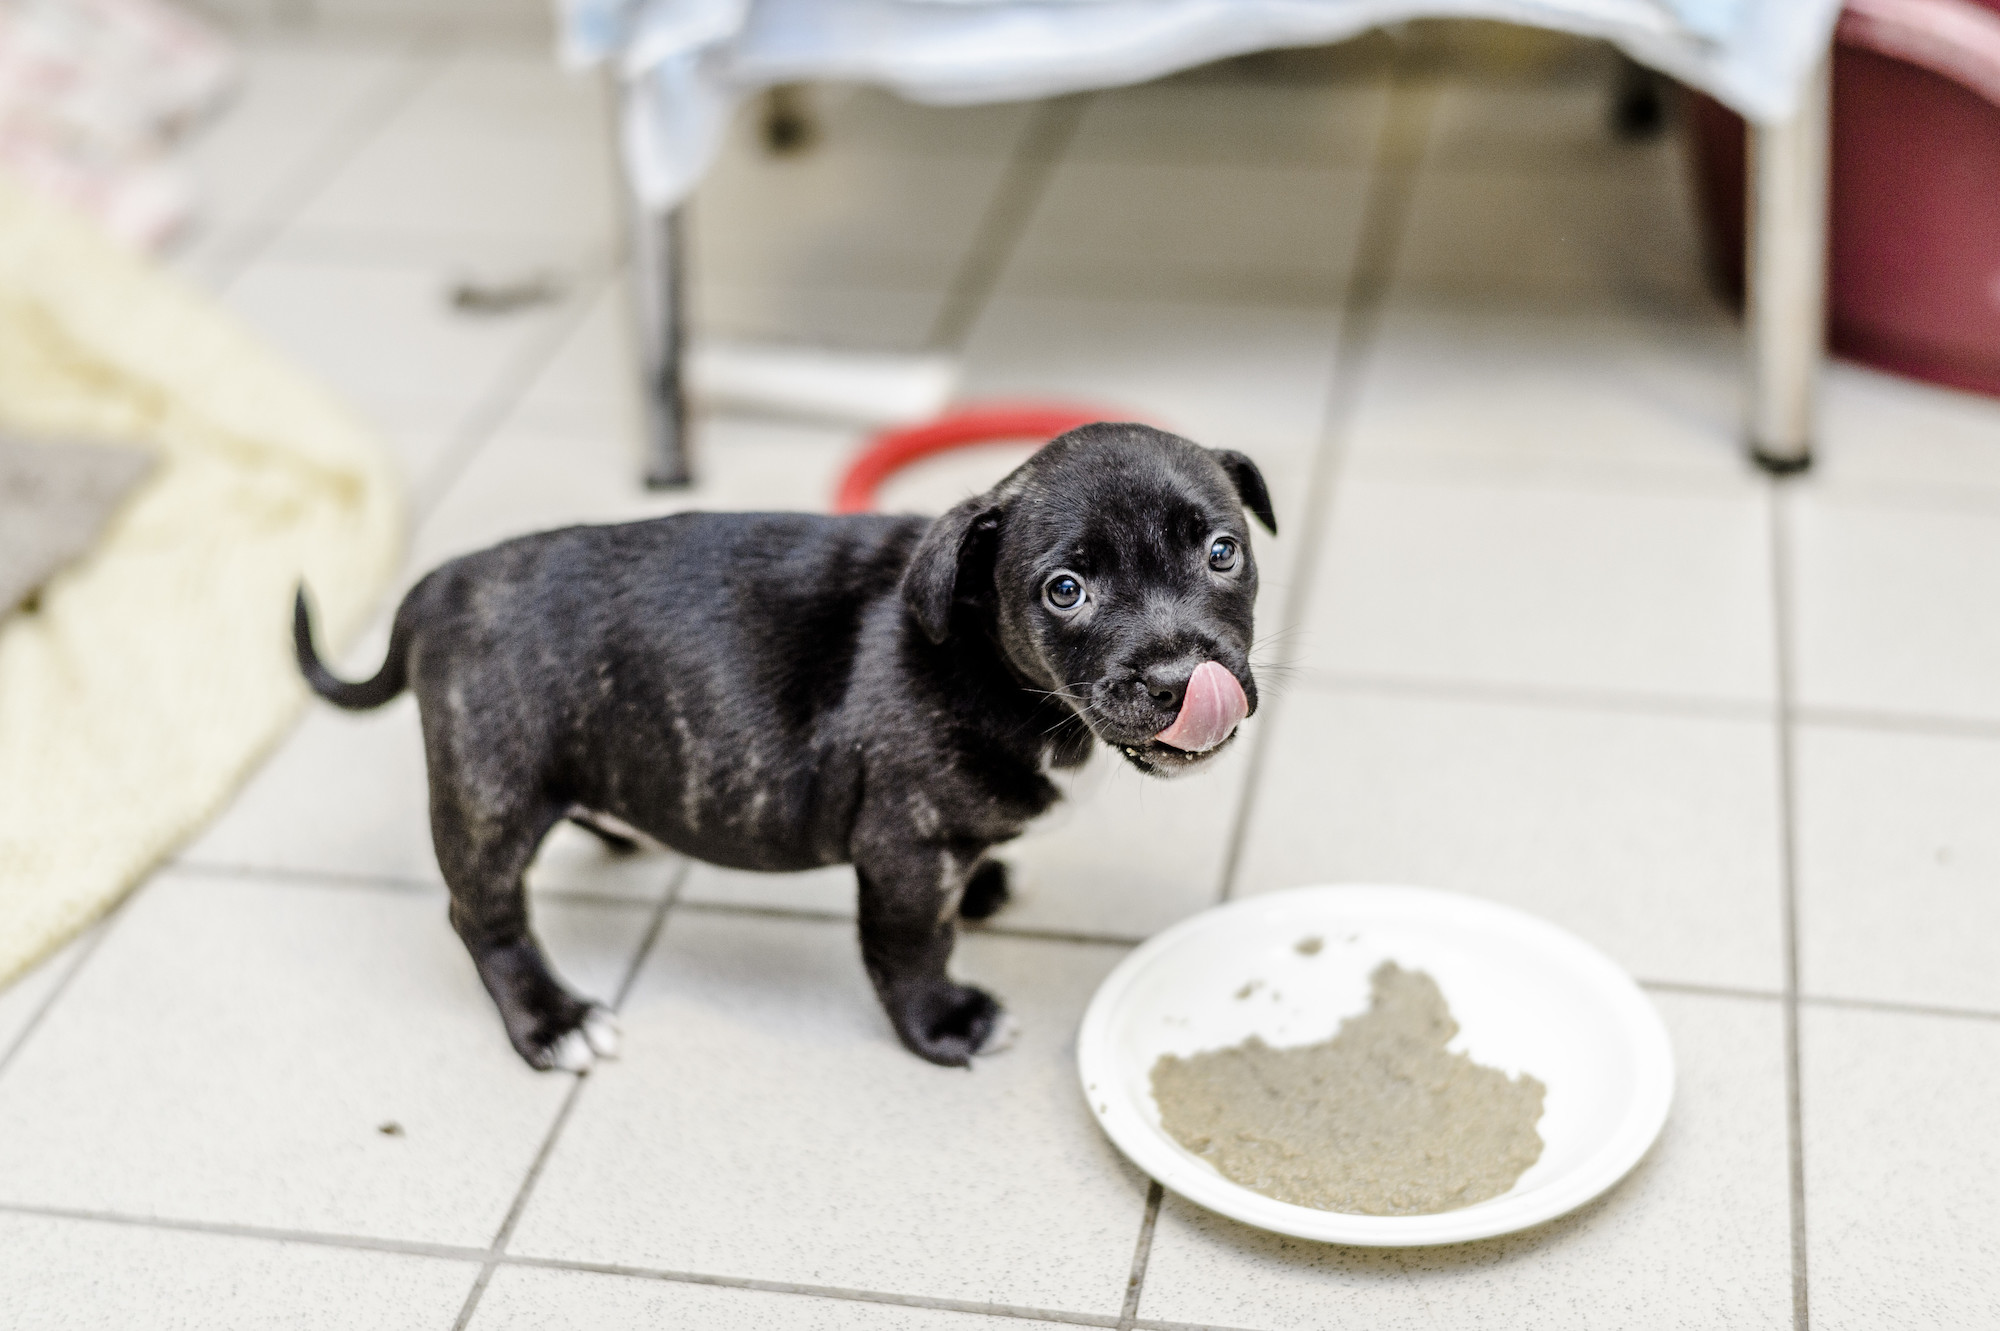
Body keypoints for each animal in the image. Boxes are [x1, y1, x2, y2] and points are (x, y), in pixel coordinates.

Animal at [292, 421, 1272, 1071]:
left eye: (1223, 553)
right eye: (1065, 589)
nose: (1181, 675)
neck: (991, 659)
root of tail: (439, 587)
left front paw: (988, 881)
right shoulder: (904, 849)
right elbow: (911, 946)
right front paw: (943, 1024)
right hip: (492, 793)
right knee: (484, 915)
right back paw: (551, 1020)